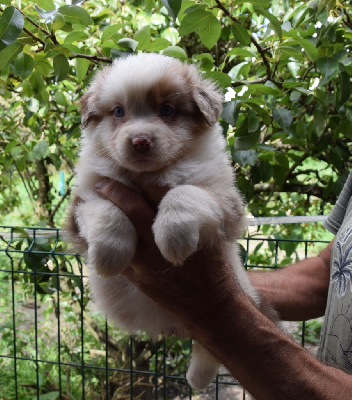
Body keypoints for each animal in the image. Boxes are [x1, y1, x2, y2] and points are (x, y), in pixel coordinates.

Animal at [66, 53, 258, 390]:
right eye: (119, 111)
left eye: (166, 110)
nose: (140, 141)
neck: (148, 175)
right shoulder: (86, 198)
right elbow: (107, 211)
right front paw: (109, 257)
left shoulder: (226, 201)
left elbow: (182, 192)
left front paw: (173, 239)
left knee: (215, 344)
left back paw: (197, 378)